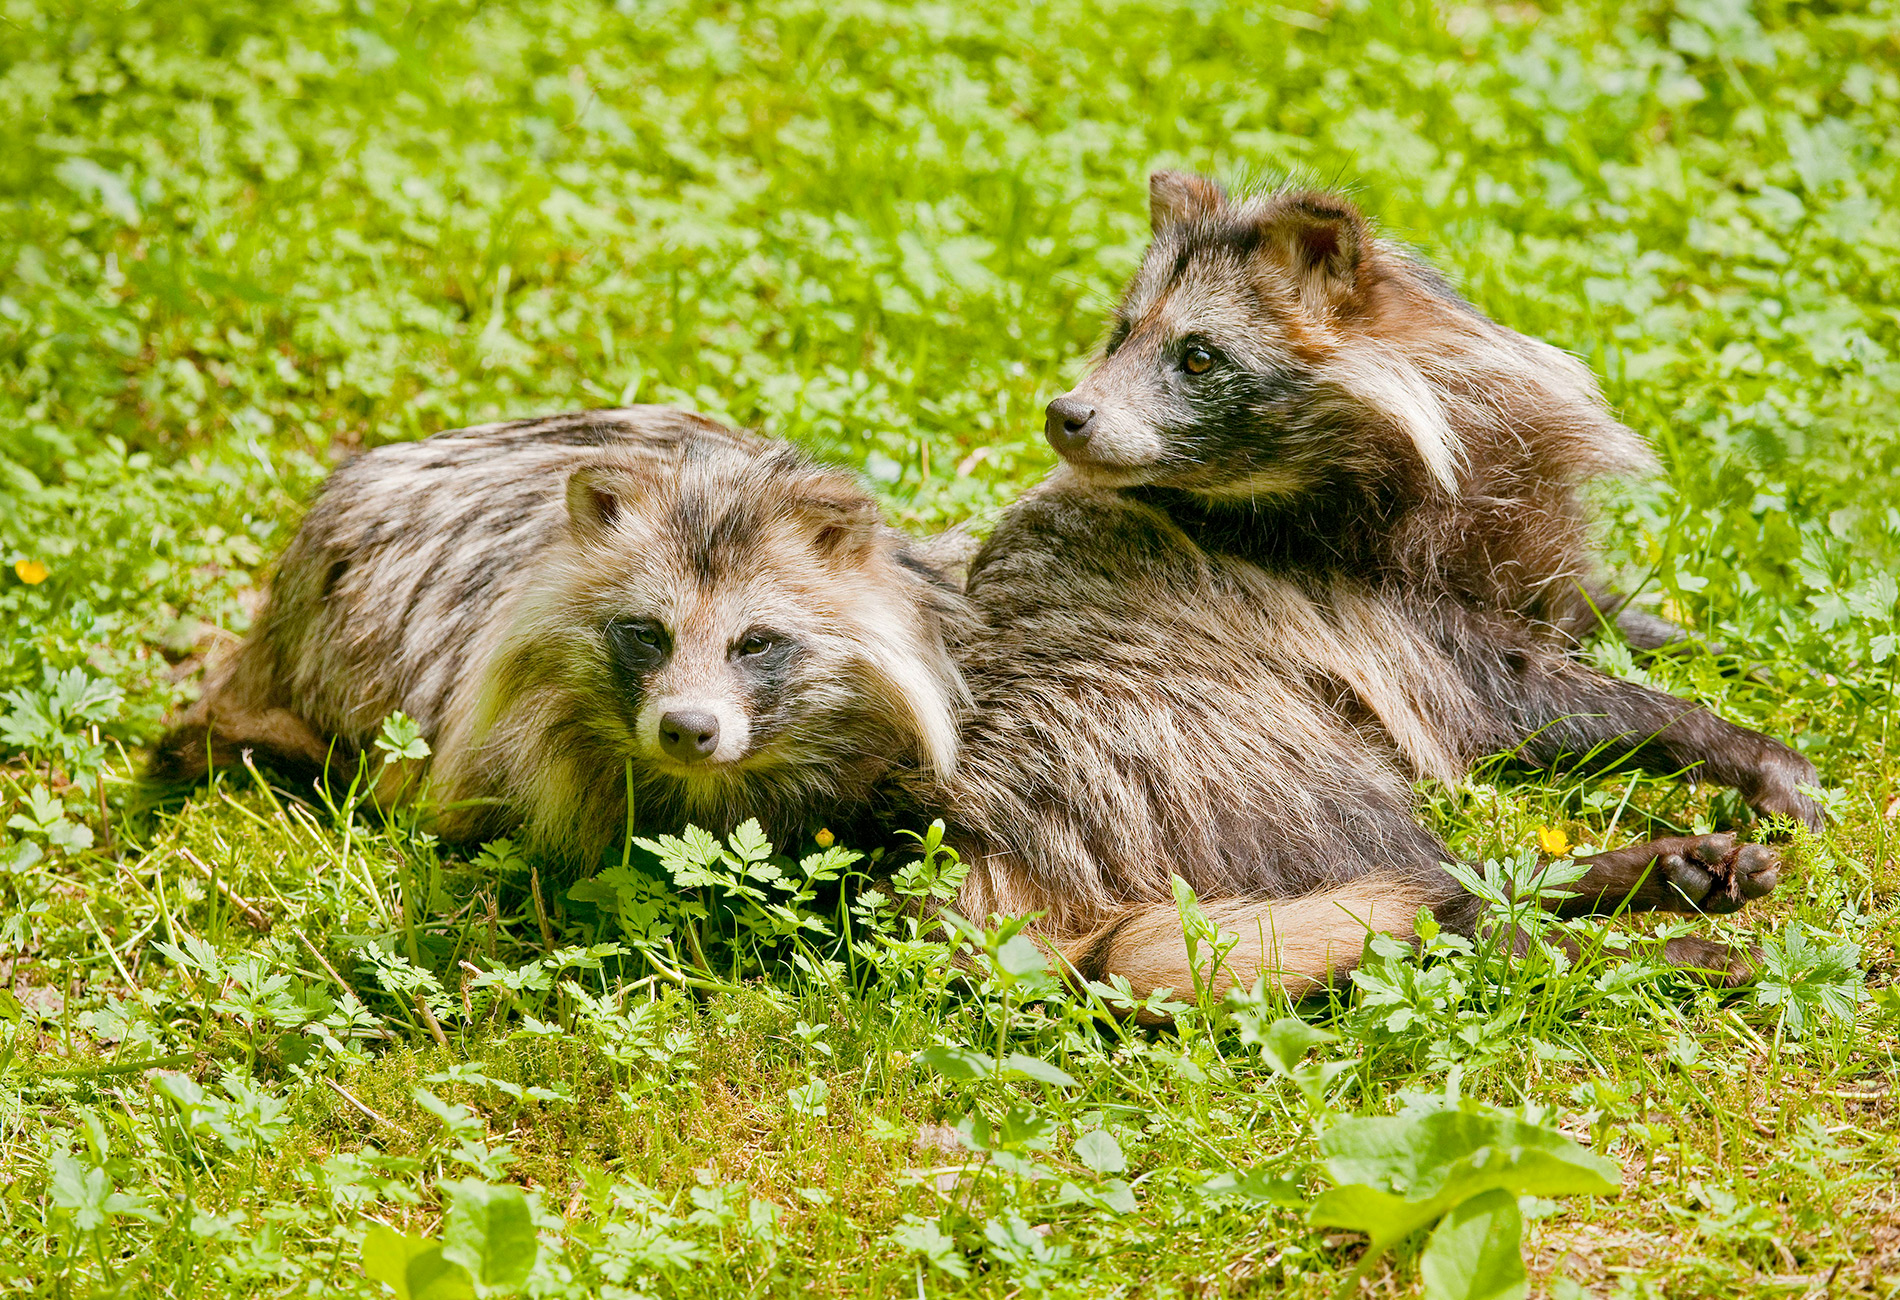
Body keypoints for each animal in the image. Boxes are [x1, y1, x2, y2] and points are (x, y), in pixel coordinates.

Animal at [942, 172, 1816, 1003]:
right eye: (1124, 337)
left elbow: (1587, 616)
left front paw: (1724, 654)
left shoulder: (1513, 557)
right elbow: (1525, 695)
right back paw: (1611, 950)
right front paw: (1726, 740)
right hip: (1177, 743)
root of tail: (972, 857)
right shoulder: (1360, 608)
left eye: (1196, 357)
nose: (1066, 413)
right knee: (1416, 897)